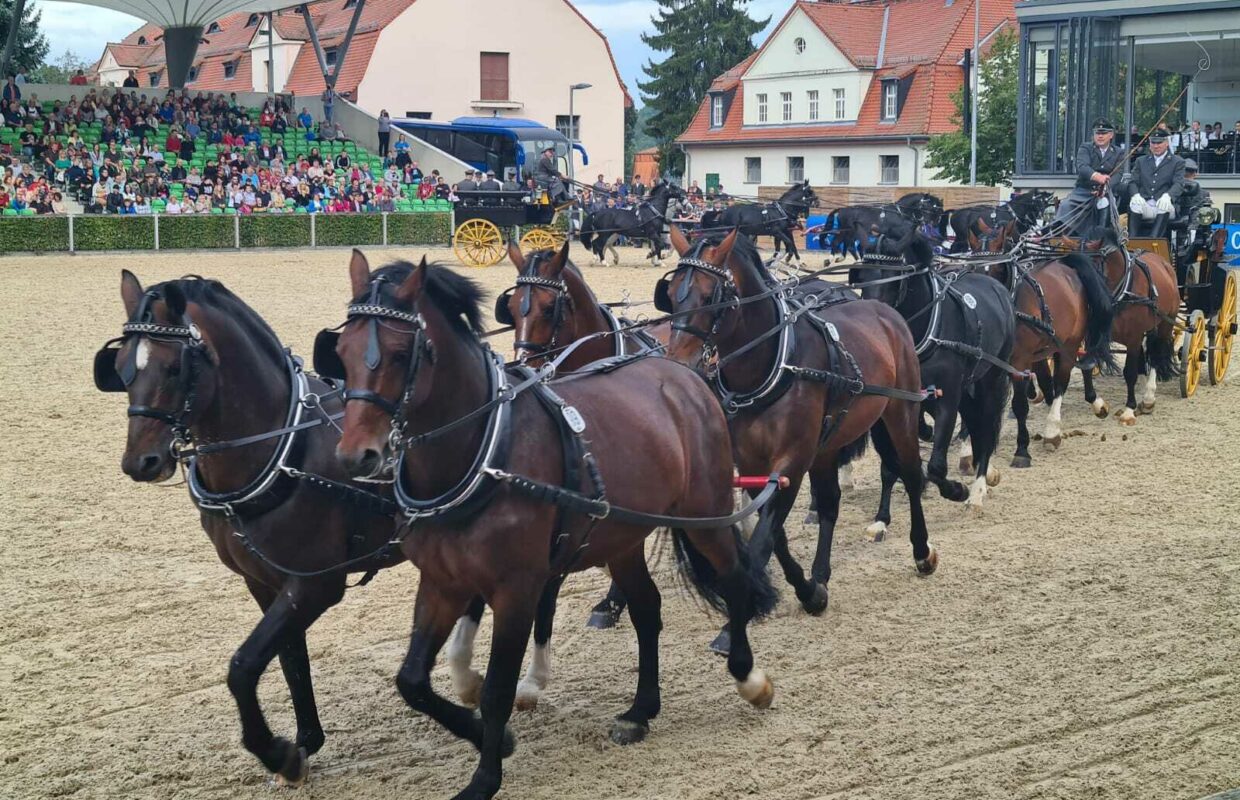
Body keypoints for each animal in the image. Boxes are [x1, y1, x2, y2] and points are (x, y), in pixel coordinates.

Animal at [94, 271, 399, 783]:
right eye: (120, 367)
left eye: (175, 368)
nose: (140, 462)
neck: (284, 449)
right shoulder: (262, 581)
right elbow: (290, 659)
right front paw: (303, 745)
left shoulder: (315, 585)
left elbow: (243, 666)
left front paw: (273, 750)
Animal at [329, 251, 773, 798]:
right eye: (341, 350)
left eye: (398, 353)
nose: (356, 456)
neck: (483, 451)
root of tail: (682, 373)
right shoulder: (442, 582)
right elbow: (411, 681)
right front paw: (487, 736)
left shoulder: (517, 588)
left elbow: (499, 688)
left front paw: (486, 775)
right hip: (621, 538)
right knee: (647, 608)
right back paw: (641, 710)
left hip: (704, 513)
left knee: (733, 579)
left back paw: (748, 676)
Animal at [664, 224, 932, 649]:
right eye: (673, 294)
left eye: (710, 297)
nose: (680, 363)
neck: (771, 364)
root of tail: (885, 311)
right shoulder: (755, 464)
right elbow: (775, 535)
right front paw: (809, 591)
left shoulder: (791, 461)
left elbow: (764, 538)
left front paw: (734, 624)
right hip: (826, 444)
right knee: (830, 503)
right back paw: (821, 574)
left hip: (899, 412)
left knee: (908, 471)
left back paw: (922, 551)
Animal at [853, 222, 1016, 530]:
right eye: (860, 277)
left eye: (894, 279)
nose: (870, 324)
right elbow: (890, 464)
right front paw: (881, 519)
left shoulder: (947, 401)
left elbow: (936, 466)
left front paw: (956, 489)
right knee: (974, 424)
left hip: (991, 380)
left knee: (987, 430)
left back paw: (977, 491)